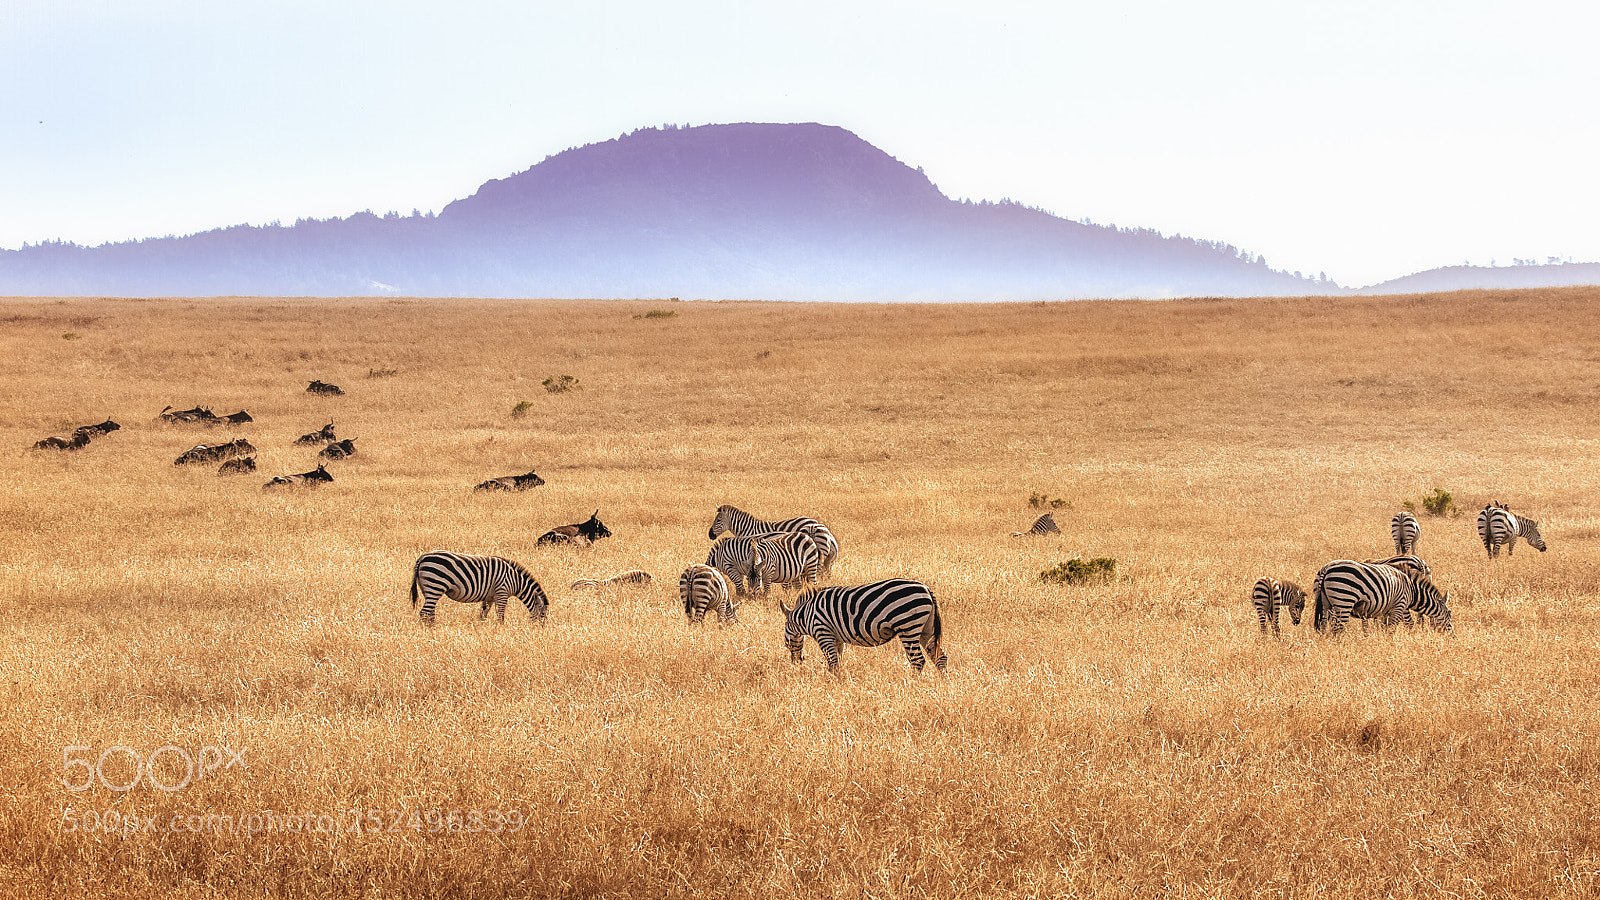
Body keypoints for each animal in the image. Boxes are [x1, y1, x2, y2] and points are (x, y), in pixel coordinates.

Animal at [410, 552, 549, 626]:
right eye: (543, 616)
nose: (541, 633)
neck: (516, 581)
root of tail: (422, 558)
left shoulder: (490, 597)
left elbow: (483, 614)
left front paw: (481, 629)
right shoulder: (502, 592)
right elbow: (500, 616)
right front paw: (501, 631)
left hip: (428, 589)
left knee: (430, 613)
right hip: (435, 585)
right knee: (424, 613)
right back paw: (430, 632)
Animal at [780, 578, 946, 674]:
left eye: (786, 643)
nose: (797, 662)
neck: (805, 615)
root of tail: (926, 589)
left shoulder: (823, 633)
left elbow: (833, 663)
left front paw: (832, 684)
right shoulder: (836, 639)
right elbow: (837, 662)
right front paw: (838, 681)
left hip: (908, 627)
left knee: (917, 661)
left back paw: (912, 686)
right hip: (926, 629)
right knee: (940, 657)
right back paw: (942, 684)